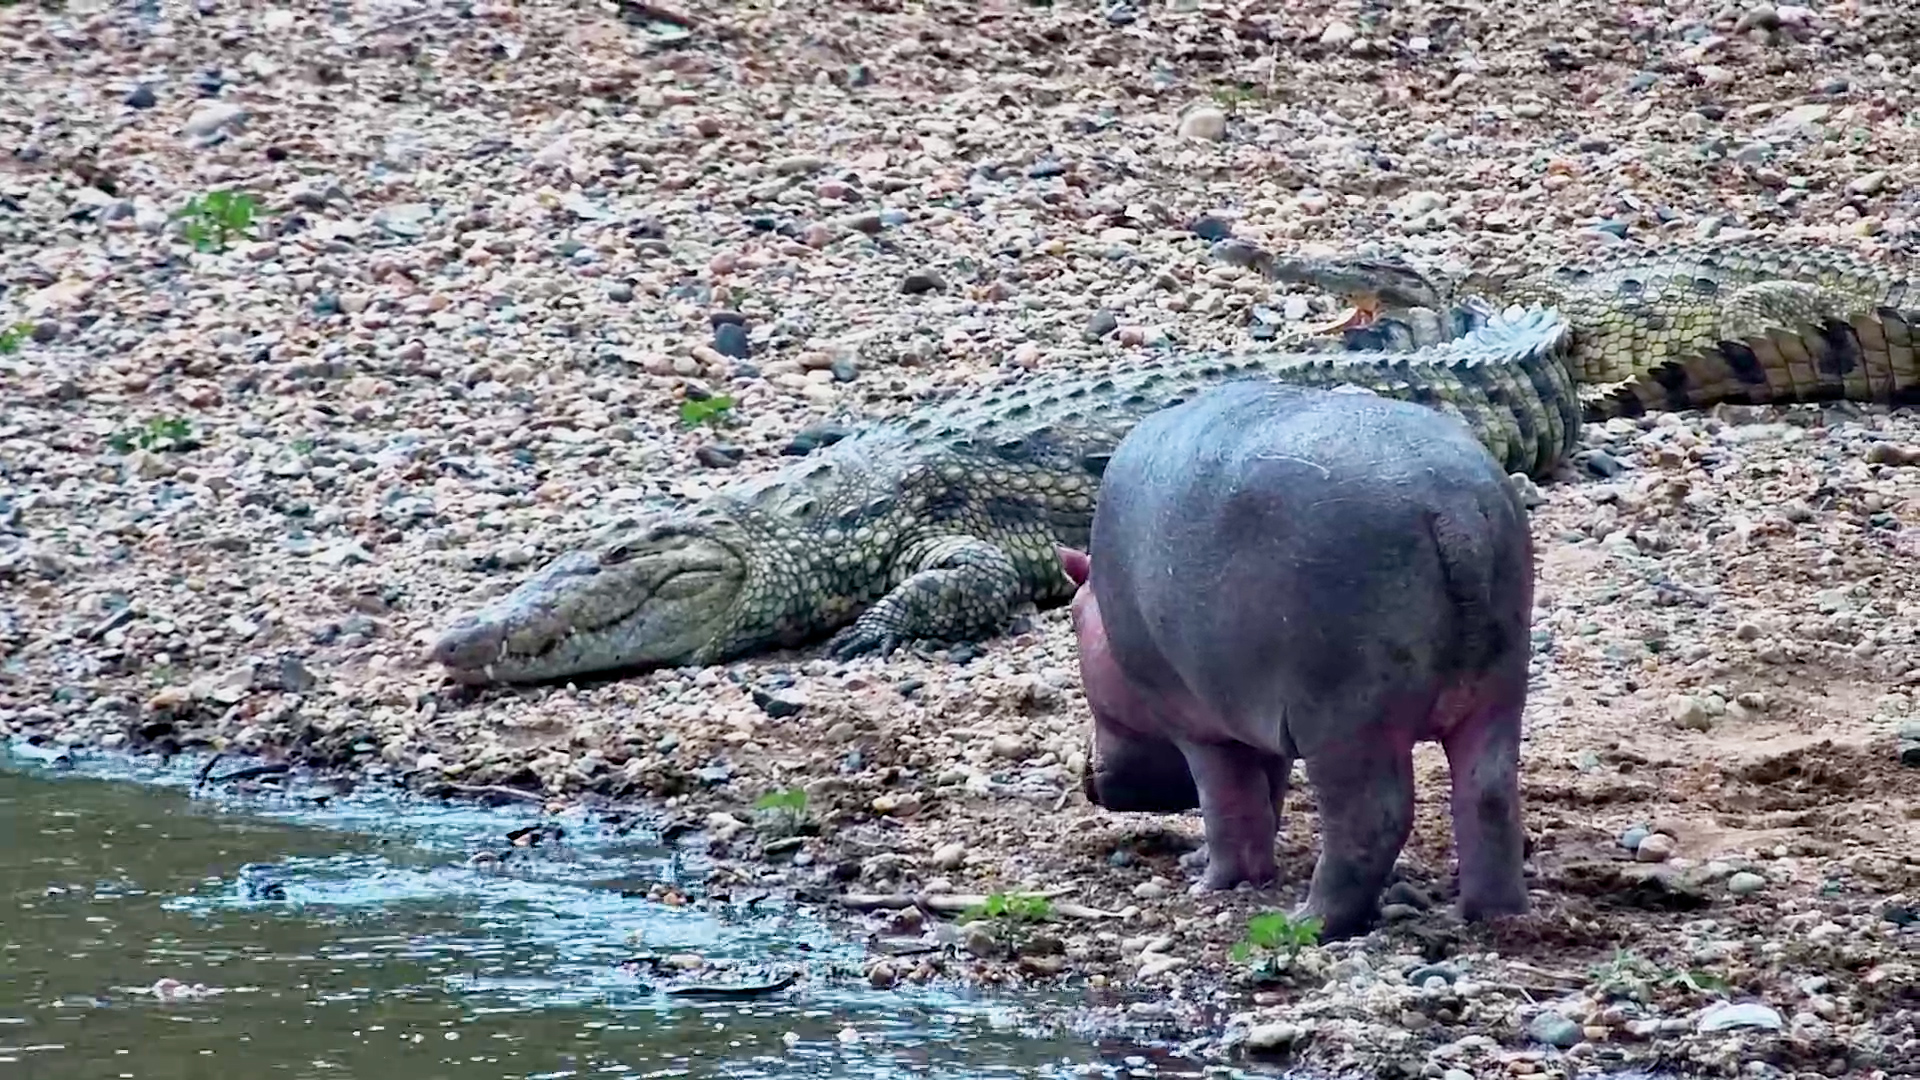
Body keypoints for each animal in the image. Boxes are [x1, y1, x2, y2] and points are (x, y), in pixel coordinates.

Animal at [1061, 380, 1534, 940]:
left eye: (1073, 617)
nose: (1086, 776)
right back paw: (1492, 915)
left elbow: (1227, 801)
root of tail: (1453, 508)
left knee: (1371, 817)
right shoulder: (1253, 711)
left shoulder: (1197, 723)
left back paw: (1309, 921)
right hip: (1497, 695)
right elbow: (1266, 793)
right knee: (1488, 797)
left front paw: (1211, 882)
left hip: (1346, 720)